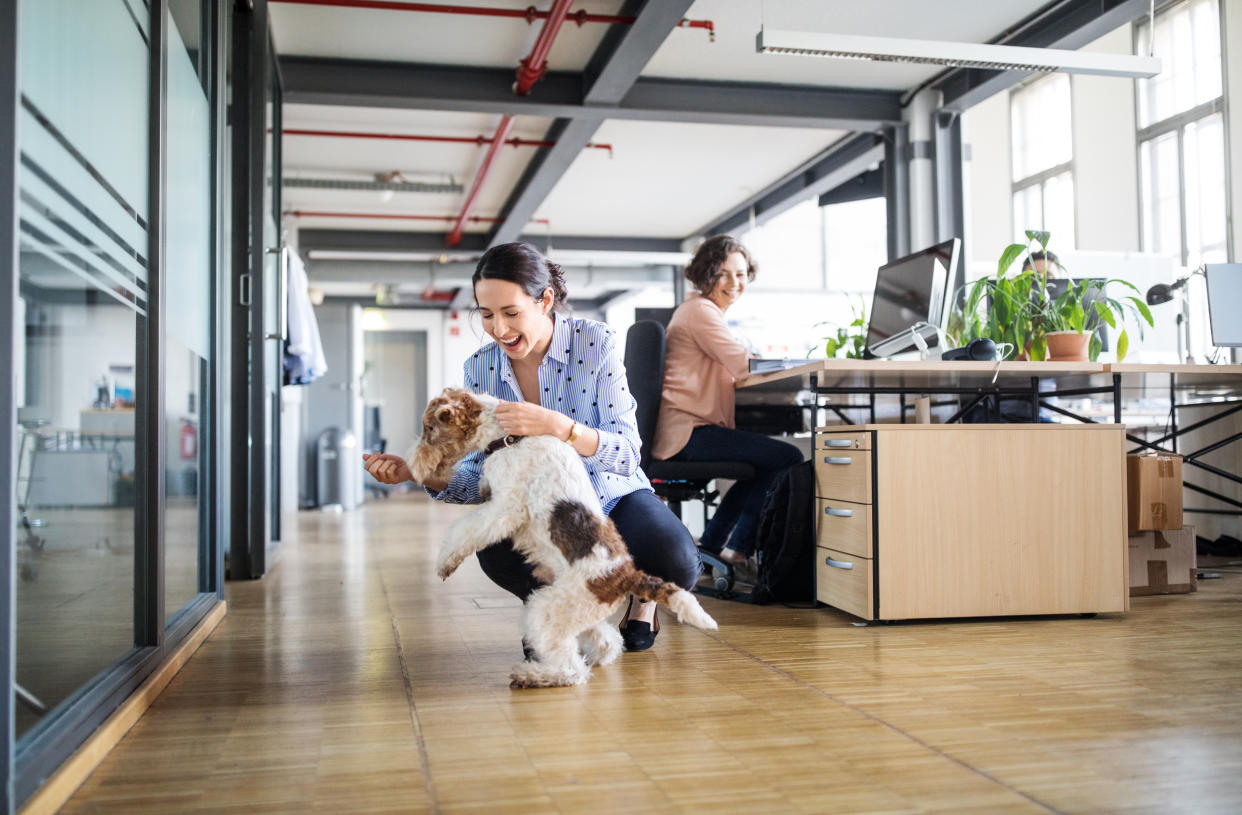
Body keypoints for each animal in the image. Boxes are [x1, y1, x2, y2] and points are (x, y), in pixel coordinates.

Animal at [409, 387, 720, 685]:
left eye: (430, 428)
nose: (413, 465)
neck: (510, 436)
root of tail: (625, 575)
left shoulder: (505, 509)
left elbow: (464, 531)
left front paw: (444, 564)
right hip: (572, 609)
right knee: (605, 641)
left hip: (548, 611)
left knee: (572, 670)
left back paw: (532, 675)